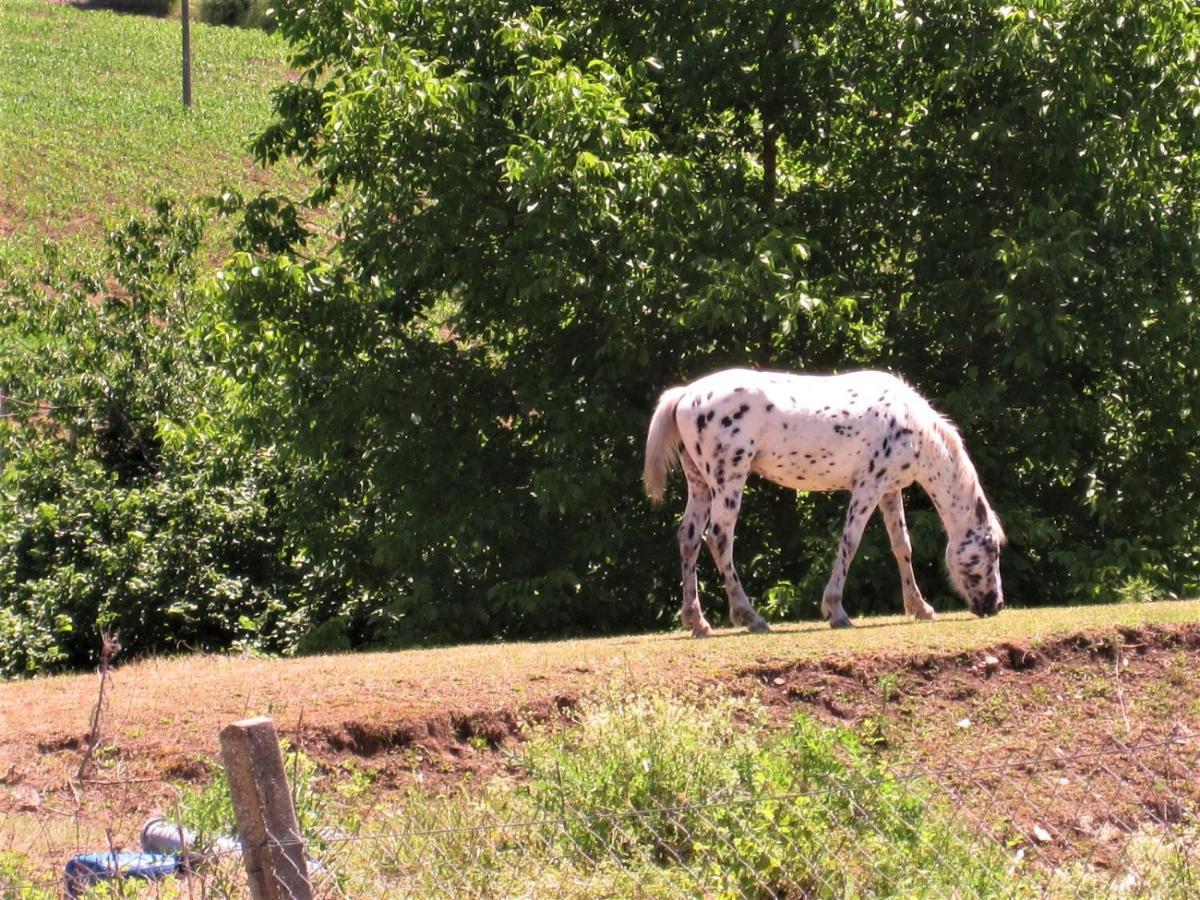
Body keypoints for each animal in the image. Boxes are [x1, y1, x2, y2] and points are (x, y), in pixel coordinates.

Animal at [643, 369, 1008, 638]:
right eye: (991, 549)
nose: (996, 604)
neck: (911, 424)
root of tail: (685, 395)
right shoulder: (867, 487)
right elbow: (850, 542)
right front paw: (836, 611)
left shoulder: (889, 492)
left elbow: (902, 545)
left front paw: (920, 608)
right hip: (728, 479)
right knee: (719, 538)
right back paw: (751, 617)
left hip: (700, 485)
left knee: (689, 537)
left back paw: (697, 621)